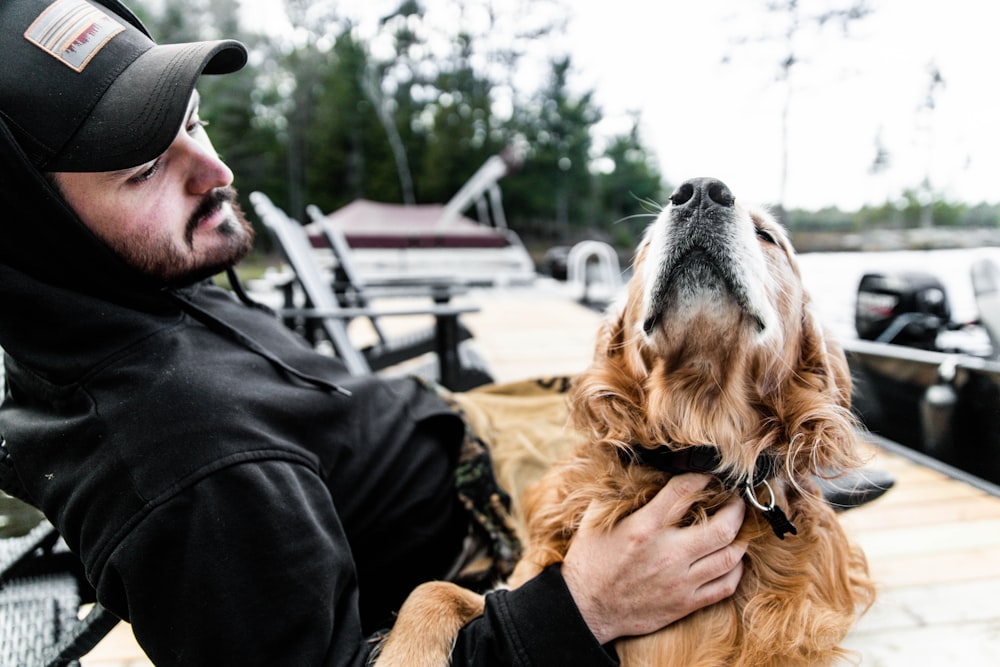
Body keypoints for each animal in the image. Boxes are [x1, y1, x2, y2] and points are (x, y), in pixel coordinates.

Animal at [376, 177, 876, 667]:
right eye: (647, 243)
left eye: (768, 236)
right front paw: (405, 655)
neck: (698, 424)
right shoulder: (513, 583)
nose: (699, 191)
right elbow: (431, 589)